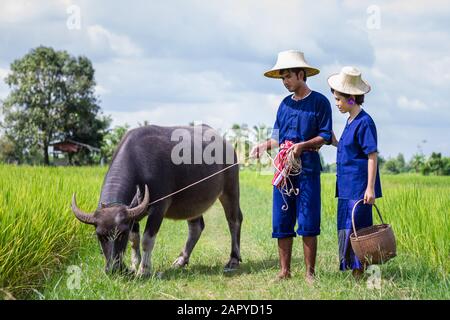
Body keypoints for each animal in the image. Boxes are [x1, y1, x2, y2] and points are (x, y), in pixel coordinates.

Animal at [71, 124, 243, 276]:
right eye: (99, 235)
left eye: (122, 234)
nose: (113, 269)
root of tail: (227, 144)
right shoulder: (132, 215)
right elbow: (135, 240)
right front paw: (134, 265)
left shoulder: (159, 208)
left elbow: (147, 240)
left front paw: (144, 270)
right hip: (193, 202)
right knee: (196, 227)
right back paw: (181, 260)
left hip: (231, 189)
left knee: (234, 219)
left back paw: (233, 259)